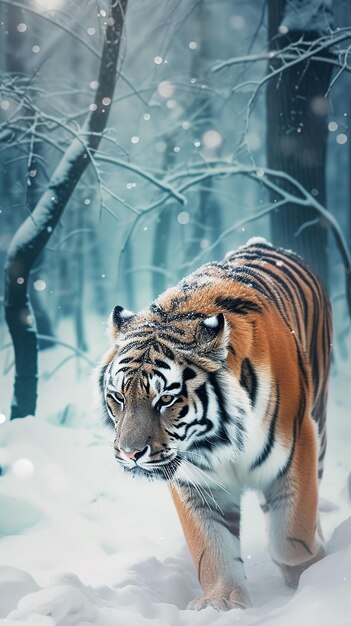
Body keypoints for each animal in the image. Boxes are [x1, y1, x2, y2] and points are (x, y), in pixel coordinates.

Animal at [98, 236, 332, 608]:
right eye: (119, 397)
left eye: (166, 400)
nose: (130, 453)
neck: (216, 442)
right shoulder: (195, 483)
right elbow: (211, 548)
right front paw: (221, 603)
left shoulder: (297, 449)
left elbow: (292, 533)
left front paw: (310, 577)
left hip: (318, 422)